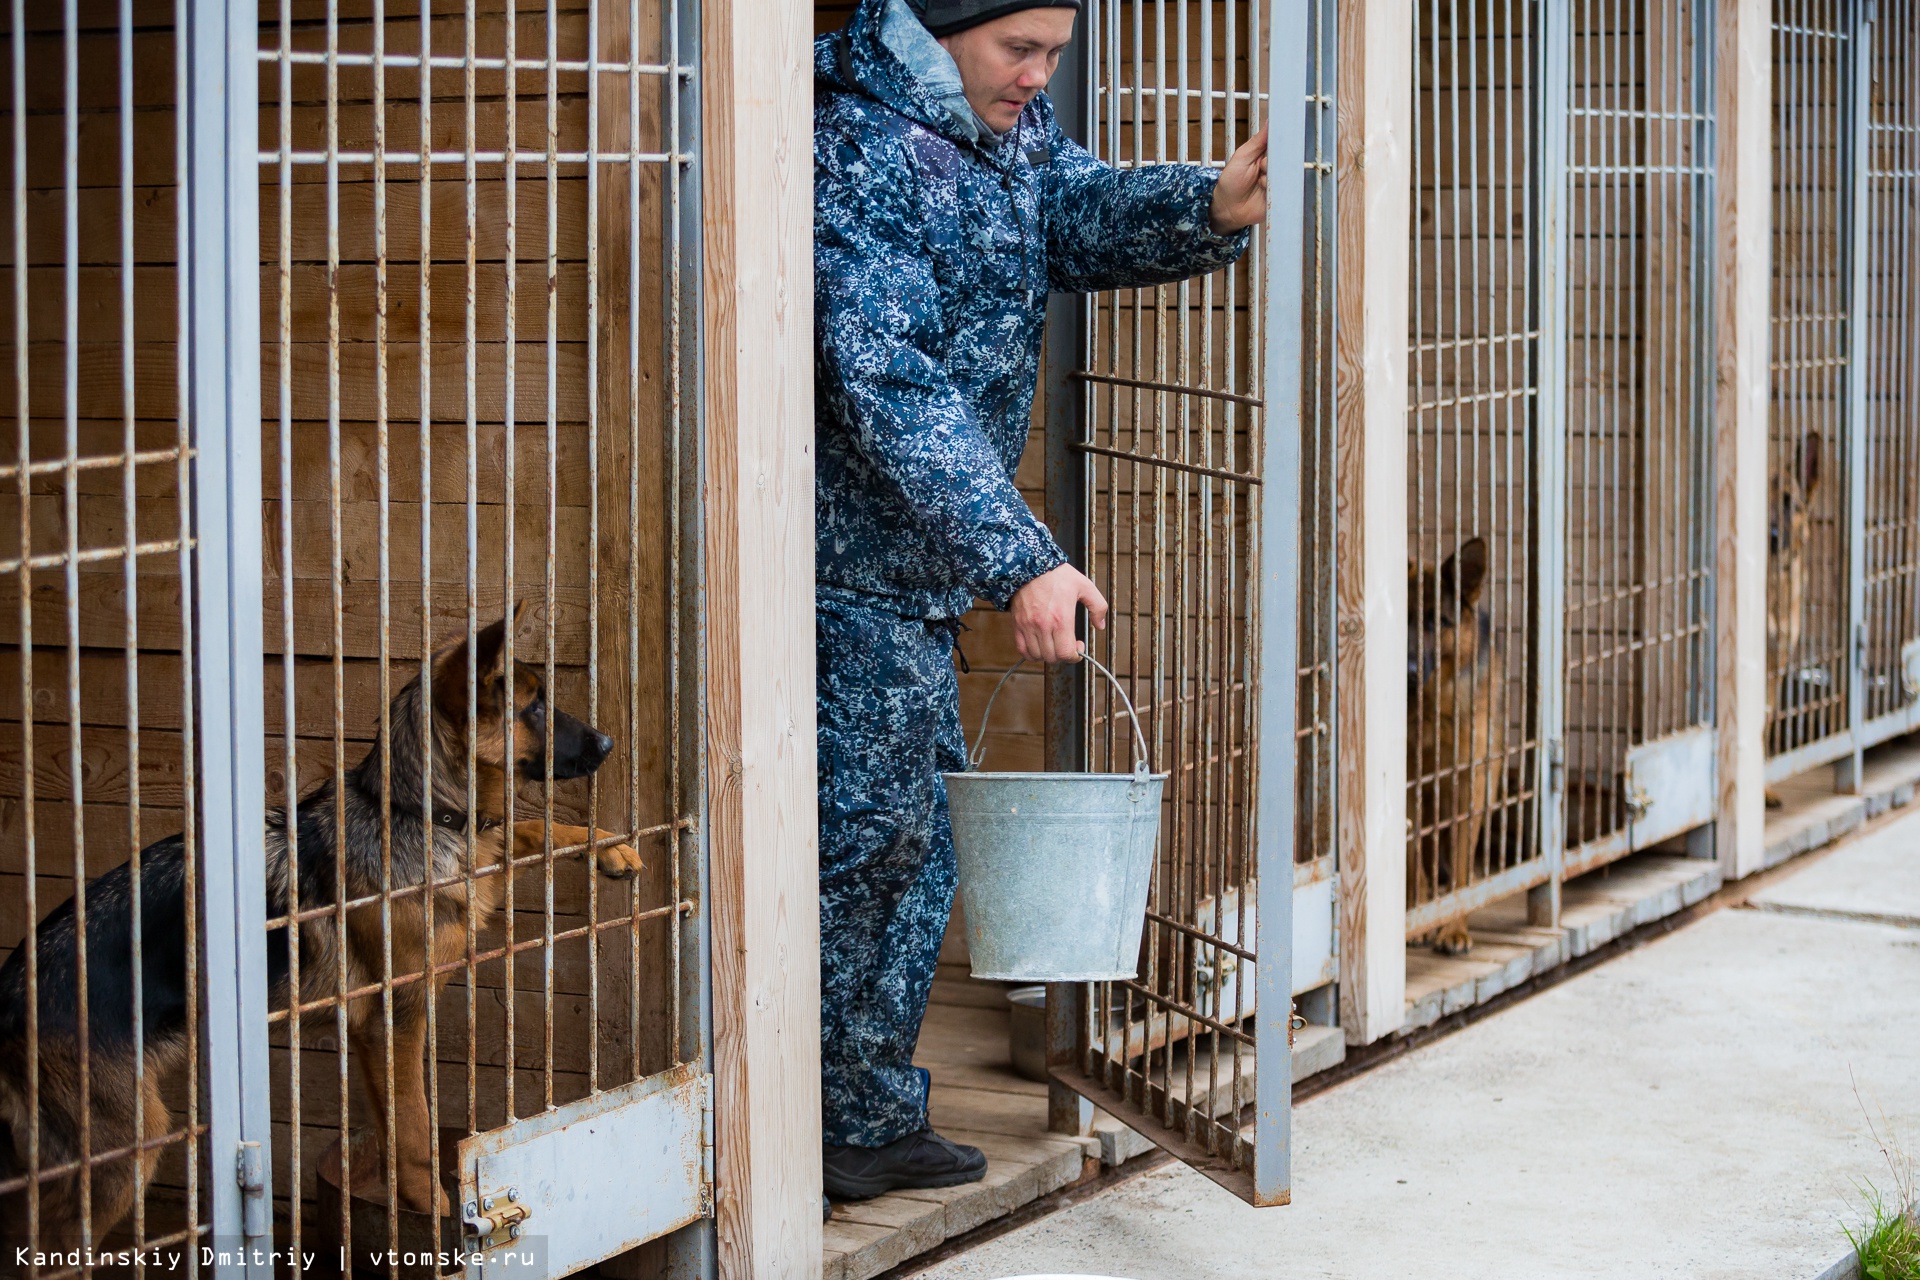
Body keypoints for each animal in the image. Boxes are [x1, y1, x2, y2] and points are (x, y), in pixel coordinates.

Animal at [0, 606, 645, 1243]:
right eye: (532, 707)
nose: (609, 743)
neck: (419, 811)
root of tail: (9, 989)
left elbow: (527, 827)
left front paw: (606, 845)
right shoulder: (394, 1020)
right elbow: (415, 1131)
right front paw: (436, 1216)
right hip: (124, 1151)